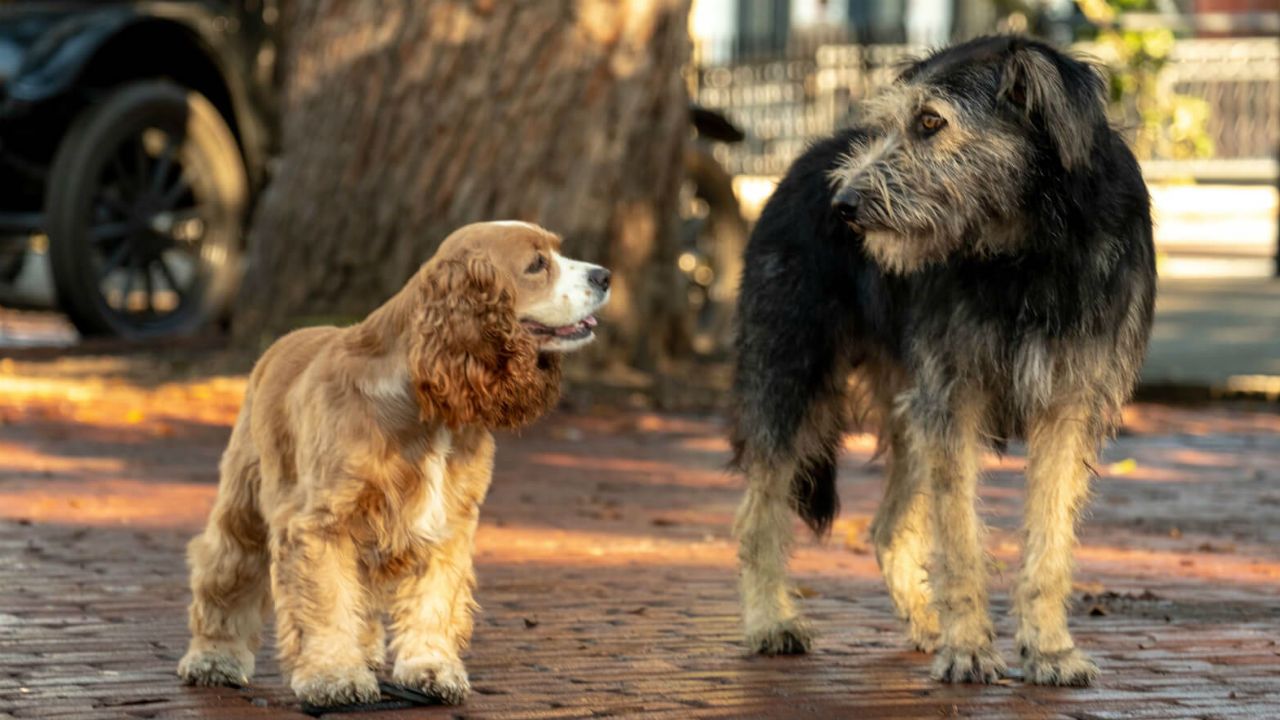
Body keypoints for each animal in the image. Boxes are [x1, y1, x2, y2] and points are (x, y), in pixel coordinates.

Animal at [179, 221, 609, 702]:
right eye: (536, 264)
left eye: (558, 251)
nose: (605, 276)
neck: (428, 405)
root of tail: (280, 344)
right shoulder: (321, 523)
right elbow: (327, 602)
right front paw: (335, 675)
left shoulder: (447, 525)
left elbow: (433, 602)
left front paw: (431, 669)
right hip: (245, 502)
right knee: (224, 571)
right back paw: (214, 658)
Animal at [727, 33, 1157, 681]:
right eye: (888, 125)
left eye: (930, 122)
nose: (843, 204)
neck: (1027, 250)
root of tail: (804, 161)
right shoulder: (953, 398)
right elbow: (958, 539)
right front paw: (971, 648)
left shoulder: (1068, 405)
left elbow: (1050, 540)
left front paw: (1049, 648)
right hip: (789, 378)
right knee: (759, 515)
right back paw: (770, 622)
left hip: (907, 411)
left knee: (885, 527)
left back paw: (925, 622)